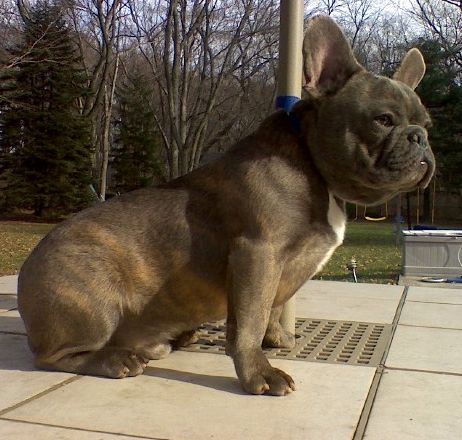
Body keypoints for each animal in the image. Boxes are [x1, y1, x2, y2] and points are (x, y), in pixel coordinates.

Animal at [18, 16, 435, 396]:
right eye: (383, 120)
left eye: (426, 124)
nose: (420, 138)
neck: (311, 162)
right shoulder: (257, 253)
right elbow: (249, 322)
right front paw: (258, 374)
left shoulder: (276, 269)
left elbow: (270, 310)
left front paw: (277, 339)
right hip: (94, 300)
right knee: (52, 356)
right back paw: (114, 359)